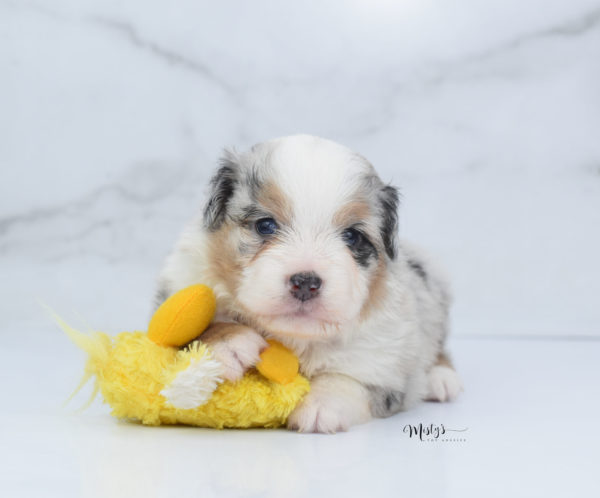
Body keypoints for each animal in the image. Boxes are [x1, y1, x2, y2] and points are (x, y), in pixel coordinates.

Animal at [154, 135, 460, 432]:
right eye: (265, 225)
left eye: (352, 236)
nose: (305, 282)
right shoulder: (182, 278)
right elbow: (197, 324)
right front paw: (230, 342)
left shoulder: (388, 358)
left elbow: (351, 377)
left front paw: (322, 404)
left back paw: (441, 378)